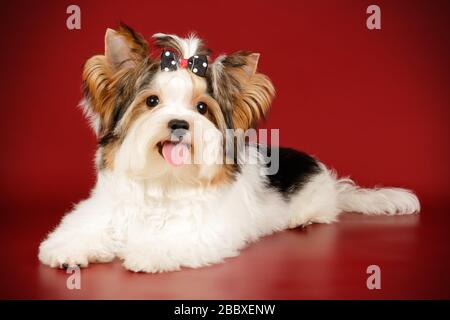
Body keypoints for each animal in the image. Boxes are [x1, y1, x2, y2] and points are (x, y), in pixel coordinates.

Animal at [37, 24, 420, 272]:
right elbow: (83, 225)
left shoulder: (206, 227)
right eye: (152, 101)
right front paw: (68, 249)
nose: (179, 124)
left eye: (202, 108)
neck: (165, 178)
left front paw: (148, 253)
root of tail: (327, 177)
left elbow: (176, 238)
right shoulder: (105, 208)